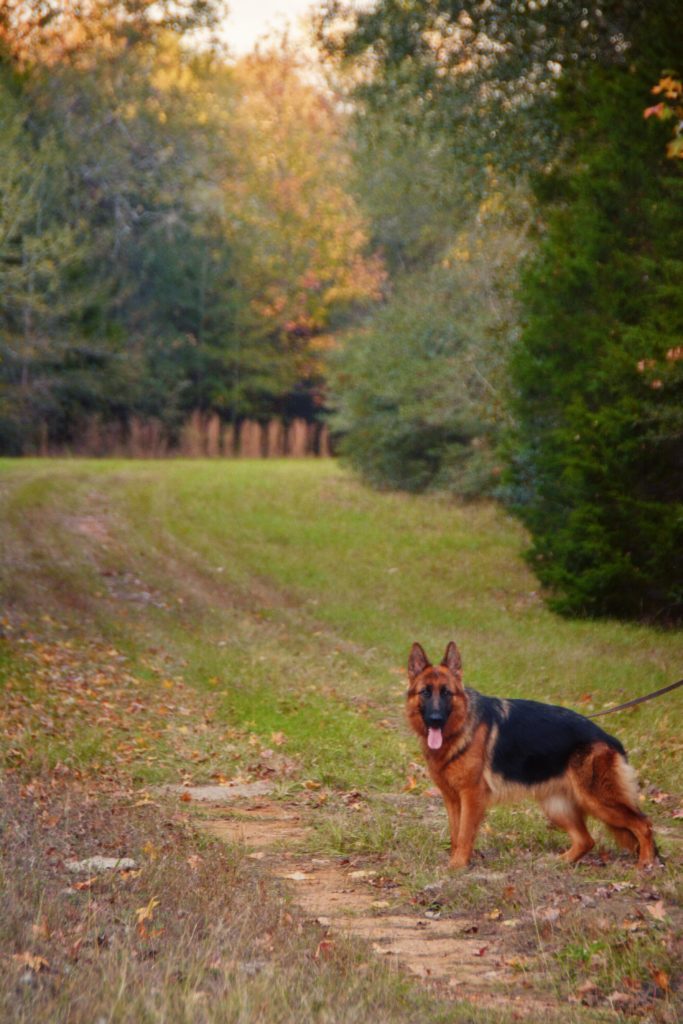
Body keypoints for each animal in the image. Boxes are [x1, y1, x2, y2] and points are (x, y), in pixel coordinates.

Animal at [405, 643, 655, 868]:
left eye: (446, 693)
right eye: (425, 692)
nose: (435, 719)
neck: (460, 727)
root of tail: (610, 739)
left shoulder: (471, 796)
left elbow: (465, 834)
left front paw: (457, 866)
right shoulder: (452, 798)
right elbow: (455, 834)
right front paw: (455, 861)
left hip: (598, 801)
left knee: (644, 824)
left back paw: (646, 864)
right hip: (557, 806)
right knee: (587, 840)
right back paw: (559, 862)